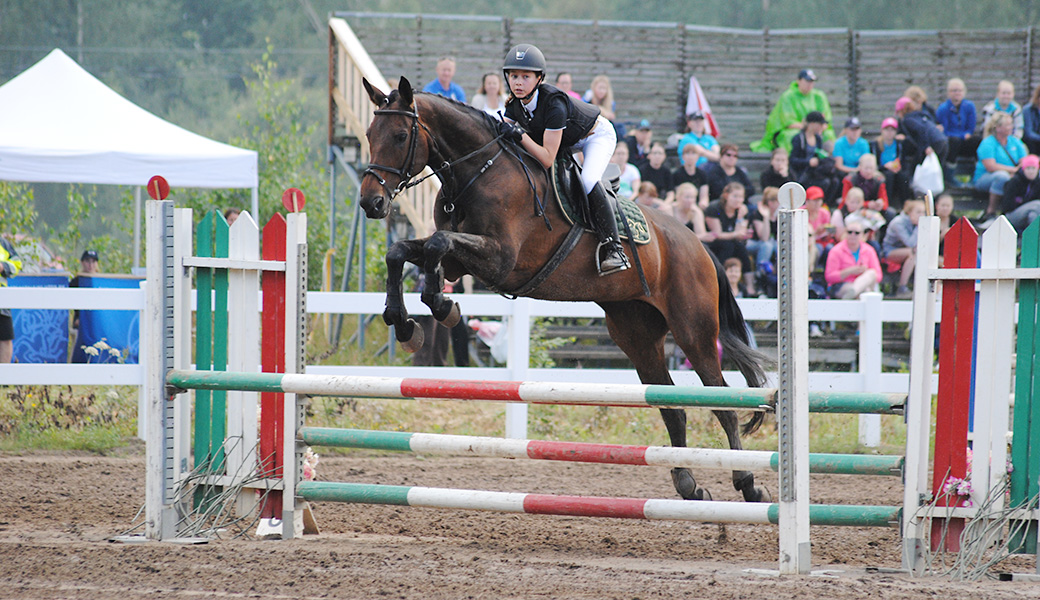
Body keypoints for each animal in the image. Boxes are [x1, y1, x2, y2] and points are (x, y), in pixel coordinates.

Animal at [357, 76, 773, 503]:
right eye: (370, 135)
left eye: (401, 135)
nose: (371, 203)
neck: (479, 170)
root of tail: (699, 244)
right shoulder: (463, 259)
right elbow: (403, 251)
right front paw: (407, 323)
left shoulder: (500, 260)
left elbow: (437, 244)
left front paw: (441, 307)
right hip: (637, 335)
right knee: (671, 405)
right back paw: (688, 484)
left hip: (694, 331)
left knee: (722, 402)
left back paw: (747, 484)